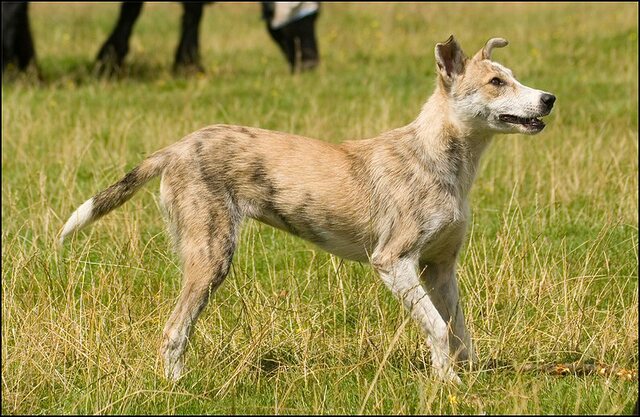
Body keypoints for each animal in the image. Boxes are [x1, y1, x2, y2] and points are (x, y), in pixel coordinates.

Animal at [58, 36, 556, 384]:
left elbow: (459, 334)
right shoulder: (394, 262)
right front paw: (448, 384)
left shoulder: (440, 269)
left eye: (511, 76)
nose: (549, 98)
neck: (438, 159)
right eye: (496, 83)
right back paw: (178, 387)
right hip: (211, 259)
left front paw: (463, 380)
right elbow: (436, 329)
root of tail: (177, 146)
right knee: (173, 333)